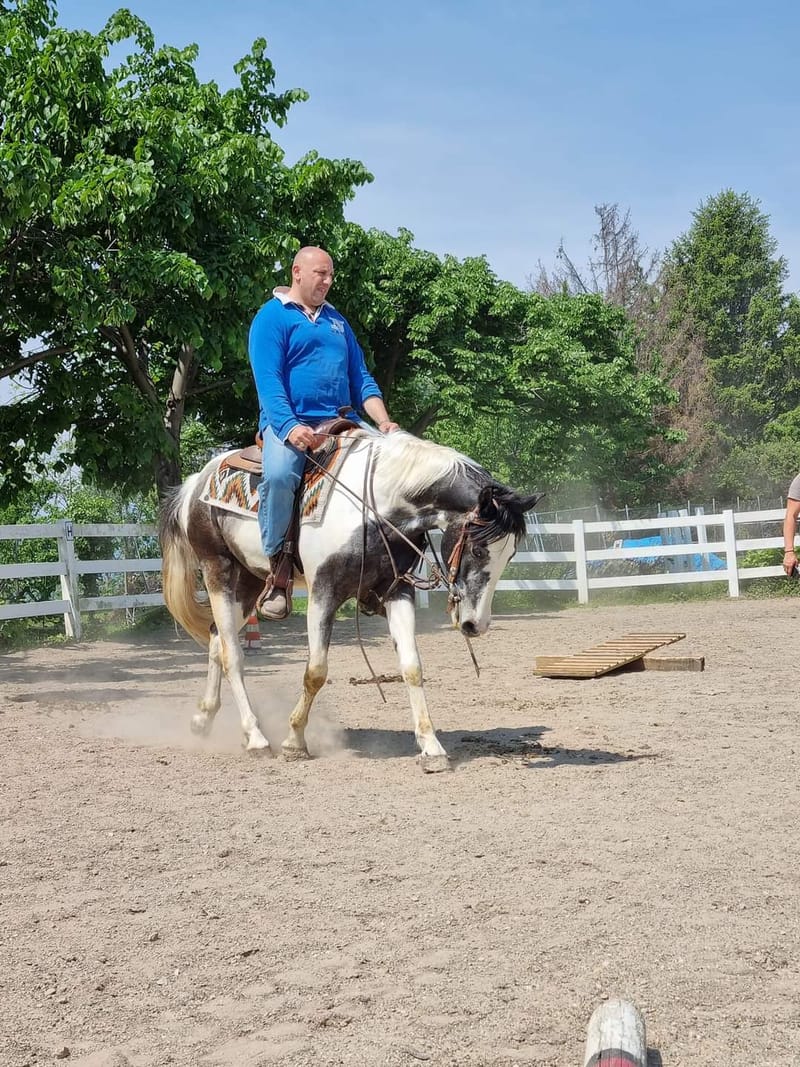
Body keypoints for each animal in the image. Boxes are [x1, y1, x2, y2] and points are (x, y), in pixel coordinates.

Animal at [159, 428, 539, 772]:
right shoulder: (323, 592)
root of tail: (196, 482)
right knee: (232, 655)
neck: (377, 509)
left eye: (510, 553)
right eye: (478, 549)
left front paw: (431, 747)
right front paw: (294, 741)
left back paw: (203, 719)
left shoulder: (397, 591)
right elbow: (316, 671)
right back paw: (255, 738)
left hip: (249, 582)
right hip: (219, 570)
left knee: (215, 639)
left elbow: (412, 667)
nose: (476, 624)